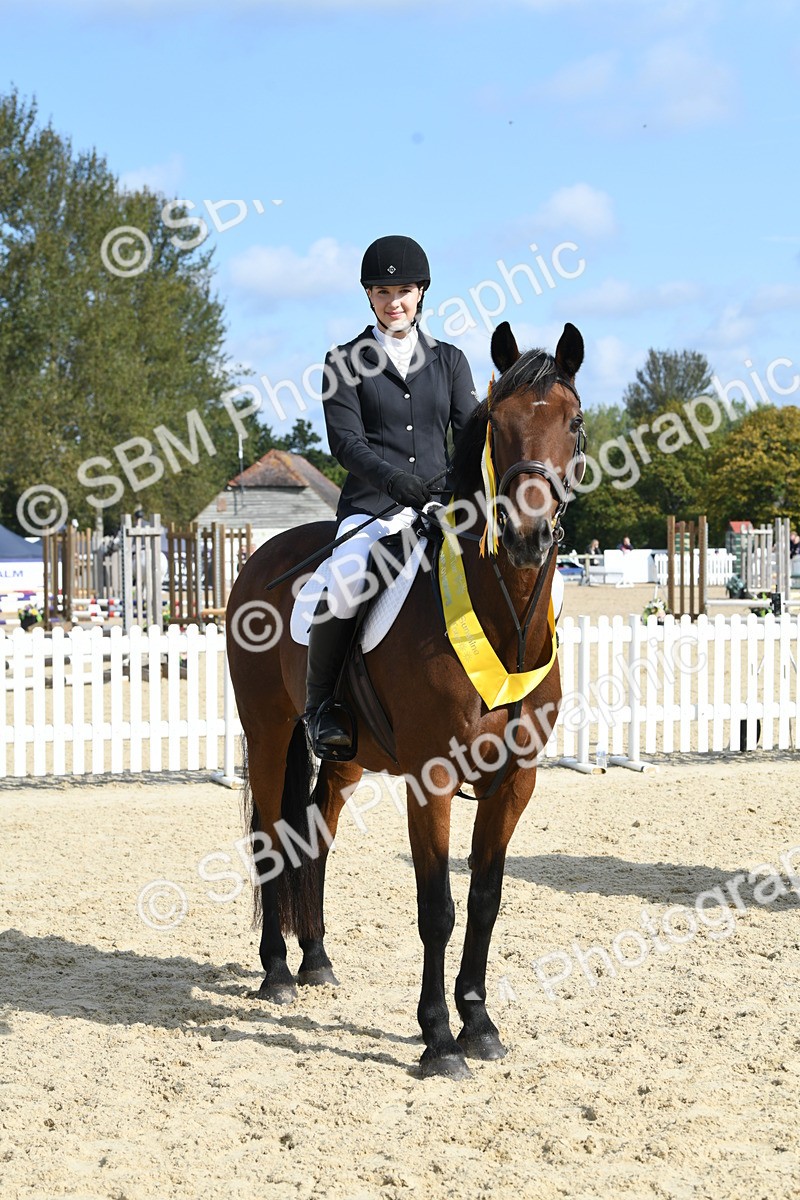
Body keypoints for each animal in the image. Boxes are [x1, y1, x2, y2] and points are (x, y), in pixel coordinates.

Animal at [225, 320, 585, 1079]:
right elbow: (437, 907)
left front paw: (480, 1025)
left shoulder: (516, 781)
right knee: (271, 836)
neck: (505, 621)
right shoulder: (433, 779)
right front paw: (439, 1040)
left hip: (346, 757)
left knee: (314, 833)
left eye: (574, 423)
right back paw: (276, 972)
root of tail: (263, 555)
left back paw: (316, 960)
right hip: (268, 733)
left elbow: (485, 899)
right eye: (498, 426)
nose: (528, 536)